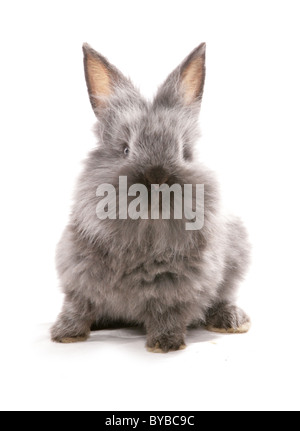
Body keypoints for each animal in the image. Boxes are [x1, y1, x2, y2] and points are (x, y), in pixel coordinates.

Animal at [50, 43, 250, 354]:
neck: (145, 236)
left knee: (222, 298)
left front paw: (164, 344)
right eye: (125, 149)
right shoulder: (77, 279)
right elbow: (77, 307)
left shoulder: (177, 291)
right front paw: (65, 334)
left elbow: (167, 314)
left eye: (185, 152)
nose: (157, 178)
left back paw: (232, 320)